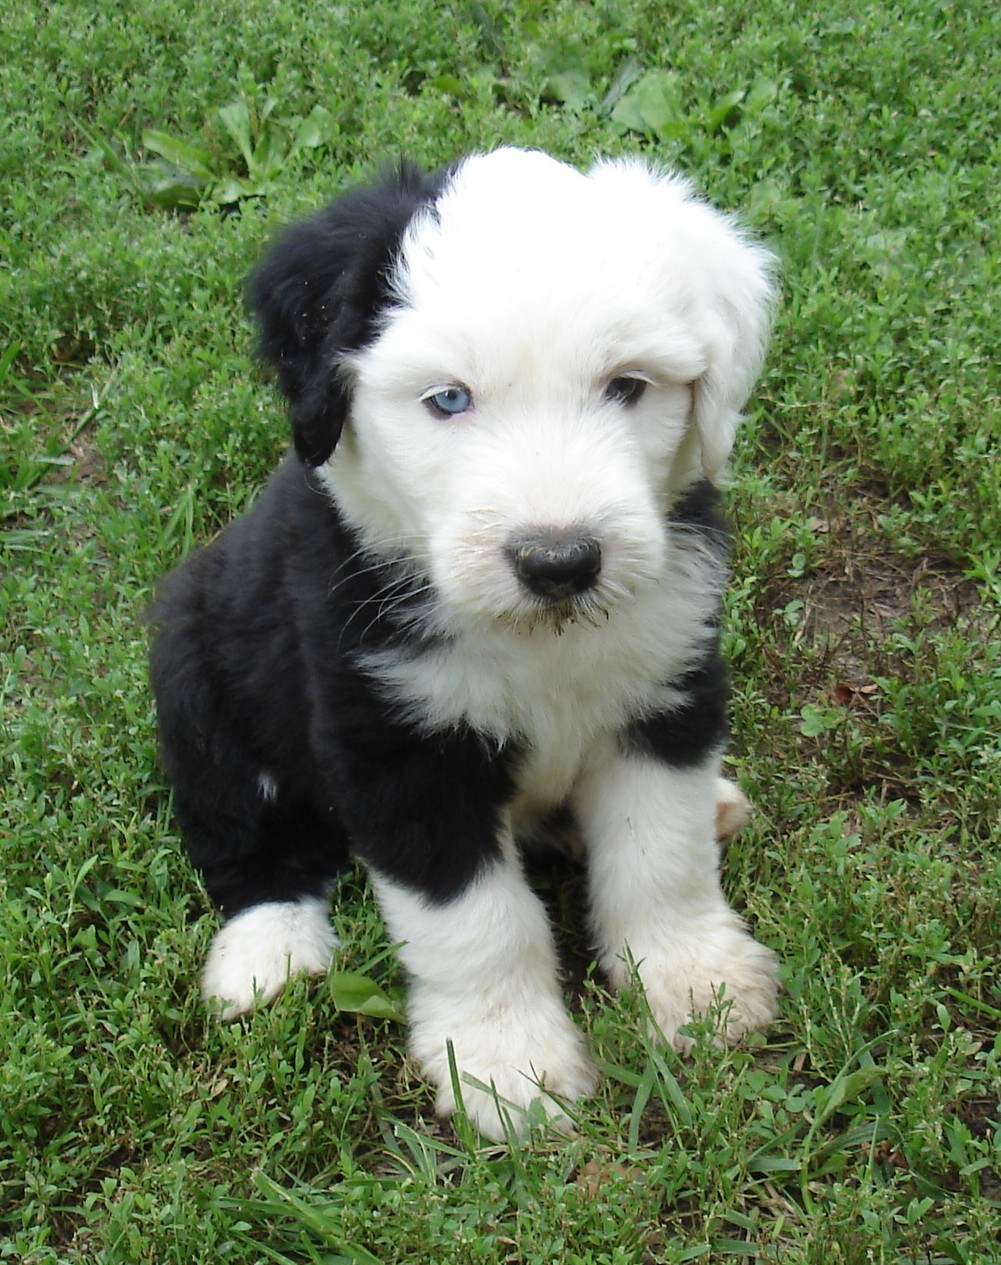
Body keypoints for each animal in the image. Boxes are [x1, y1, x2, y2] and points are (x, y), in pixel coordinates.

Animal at [148, 145, 779, 1138]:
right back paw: (267, 954)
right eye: (448, 398)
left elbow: (659, 857)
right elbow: (477, 919)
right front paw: (509, 1068)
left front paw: (696, 985)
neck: (538, 641)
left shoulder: (668, 683)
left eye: (627, 385)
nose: (558, 561)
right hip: (196, 679)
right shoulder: (397, 746)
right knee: (243, 842)